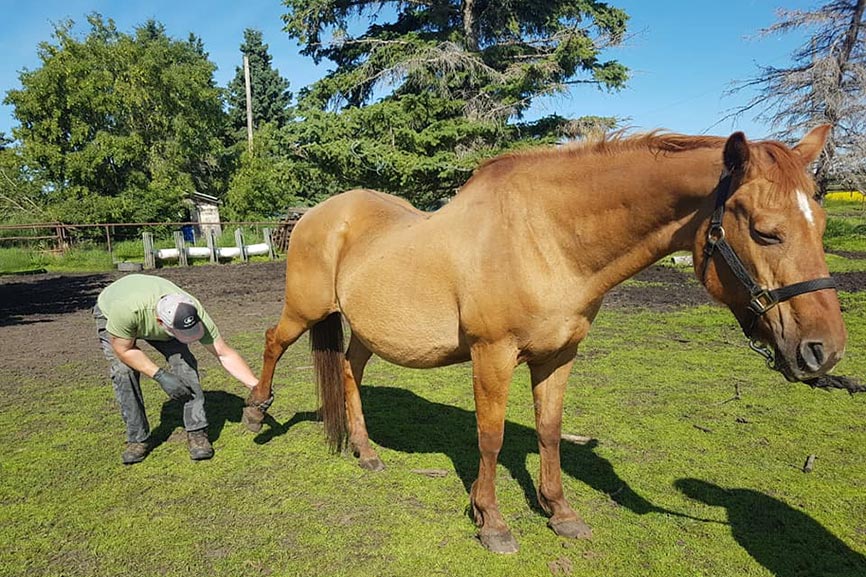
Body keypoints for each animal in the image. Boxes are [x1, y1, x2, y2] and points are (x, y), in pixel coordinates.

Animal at [243, 127, 844, 552]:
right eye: (766, 231)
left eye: (821, 224)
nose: (825, 350)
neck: (547, 239)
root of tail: (317, 215)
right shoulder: (492, 354)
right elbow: (489, 438)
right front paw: (491, 523)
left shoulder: (558, 356)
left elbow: (549, 432)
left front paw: (560, 512)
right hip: (305, 309)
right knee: (274, 340)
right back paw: (255, 413)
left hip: (367, 329)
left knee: (350, 369)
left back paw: (366, 452)